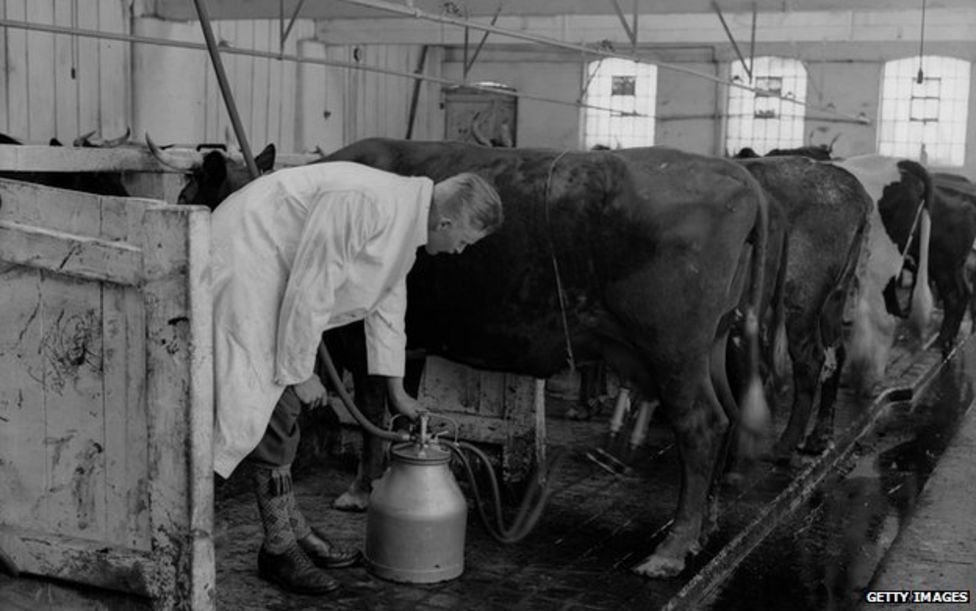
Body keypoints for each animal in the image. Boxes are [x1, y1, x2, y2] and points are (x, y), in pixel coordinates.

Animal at [170, 137, 776, 580]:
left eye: (188, 197)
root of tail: (735, 175)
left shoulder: (357, 337)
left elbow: (368, 407)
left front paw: (360, 489)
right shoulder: (406, 339)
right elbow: (393, 401)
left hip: (673, 350)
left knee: (701, 426)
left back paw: (672, 547)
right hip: (710, 344)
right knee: (724, 416)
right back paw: (703, 525)